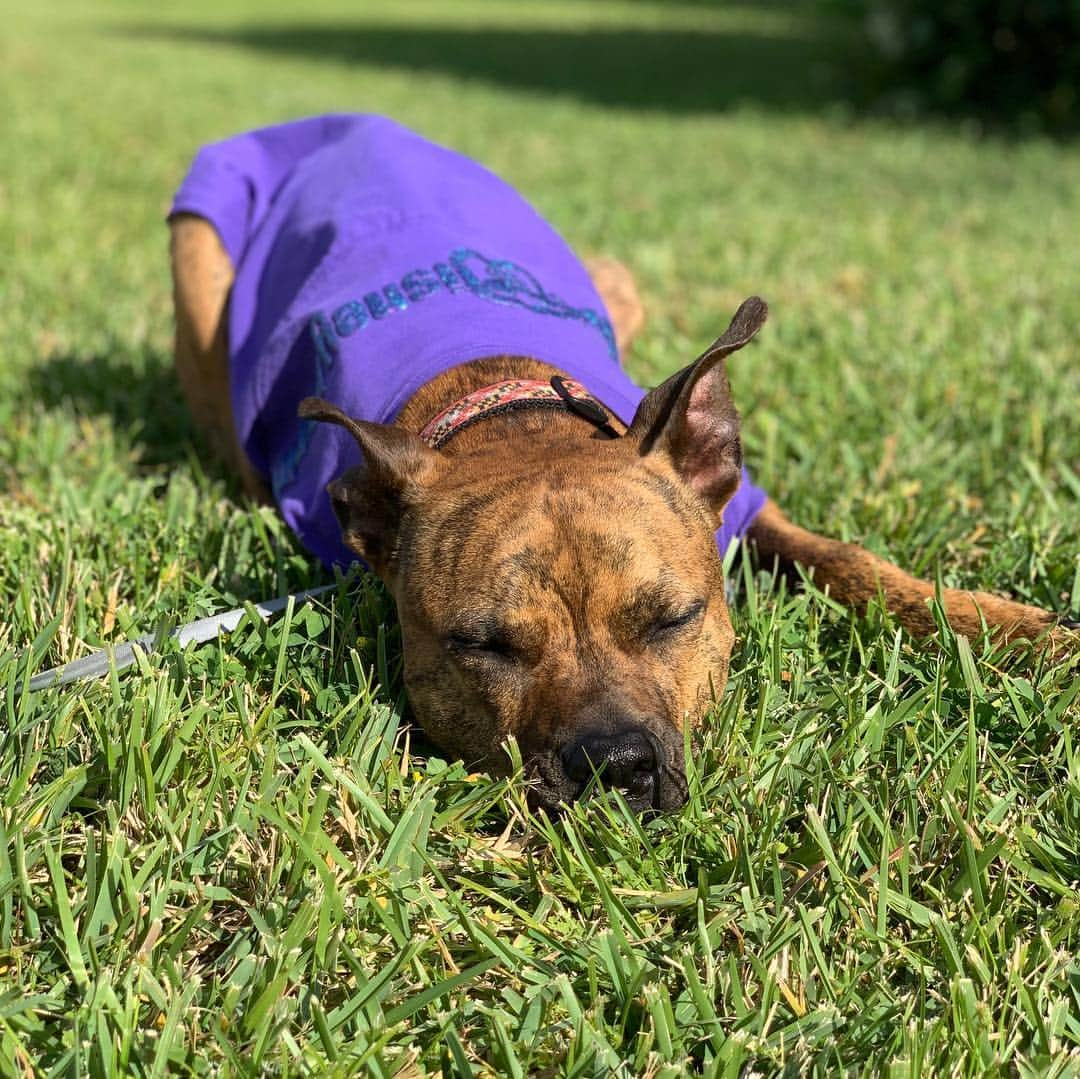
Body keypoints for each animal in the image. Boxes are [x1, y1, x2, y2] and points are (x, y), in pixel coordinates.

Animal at [168, 113, 1071, 812]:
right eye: (482, 645)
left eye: (674, 619)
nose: (615, 764)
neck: (507, 407)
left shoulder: (743, 505)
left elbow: (848, 560)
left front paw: (1009, 629)